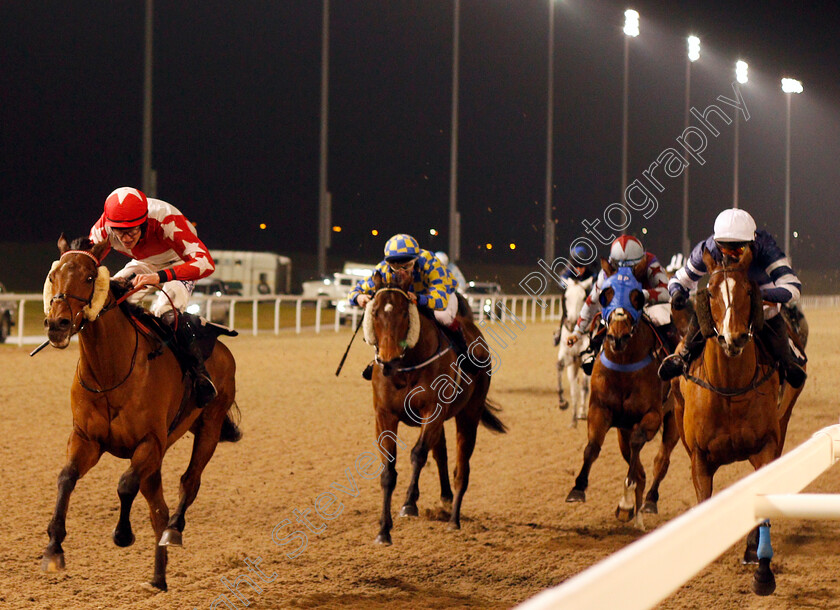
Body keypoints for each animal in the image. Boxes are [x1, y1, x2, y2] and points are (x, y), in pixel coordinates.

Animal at [41, 234, 240, 588]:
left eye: (89, 278)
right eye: (54, 275)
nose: (57, 324)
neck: (110, 372)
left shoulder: (150, 443)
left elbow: (125, 484)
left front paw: (122, 534)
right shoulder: (87, 439)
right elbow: (66, 478)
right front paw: (54, 546)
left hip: (210, 426)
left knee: (189, 482)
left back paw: (173, 532)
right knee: (158, 509)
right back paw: (159, 578)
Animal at [362, 270, 506, 540]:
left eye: (404, 313)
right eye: (374, 312)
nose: (387, 360)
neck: (405, 367)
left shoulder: (433, 411)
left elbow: (418, 454)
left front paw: (409, 504)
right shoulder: (384, 416)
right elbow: (388, 470)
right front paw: (384, 529)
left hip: (469, 414)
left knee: (462, 466)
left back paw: (454, 518)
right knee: (441, 451)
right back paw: (446, 497)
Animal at [564, 256, 684, 528]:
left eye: (636, 296)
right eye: (606, 294)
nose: (617, 336)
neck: (624, 365)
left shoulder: (652, 416)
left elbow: (639, 450)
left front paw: (627, 501)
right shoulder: (601, 410)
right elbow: (592, 448)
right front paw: (578, 488)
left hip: (673, 418)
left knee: (661, 460)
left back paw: (648, 503)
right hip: (623, 428)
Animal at [672, 247, 804, 592]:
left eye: (748, 291)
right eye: (710, 292)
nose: (733, 339)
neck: (729, 387)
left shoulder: (766, 446)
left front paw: (761, 569)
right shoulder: (699, 457)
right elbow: (703, 498)